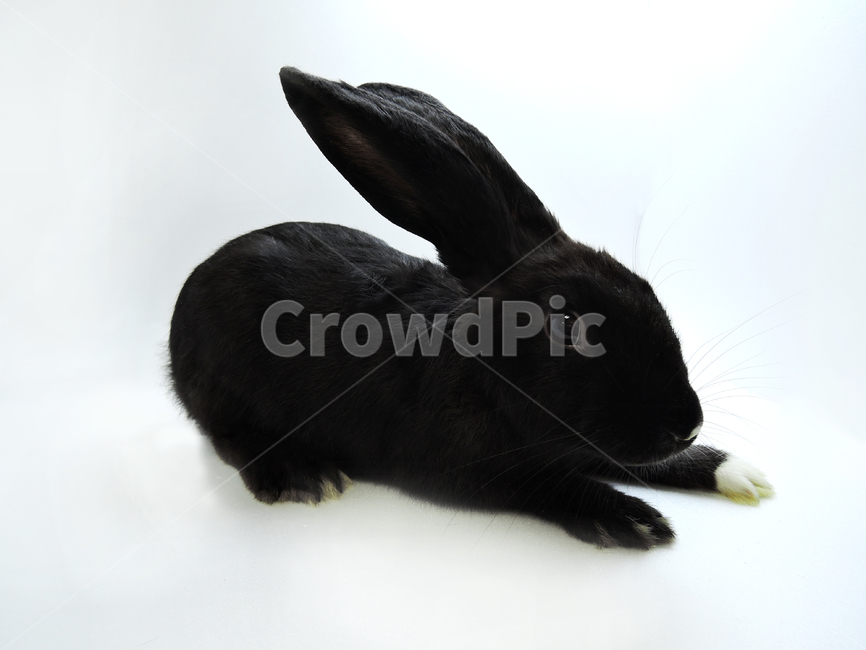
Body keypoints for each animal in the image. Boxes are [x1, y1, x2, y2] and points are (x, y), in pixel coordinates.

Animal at [168, 67, 773, 550]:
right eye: (571, 326)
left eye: (648, 290)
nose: (687, 426)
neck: (484, 369)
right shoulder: (469, 469)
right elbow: (551, 484)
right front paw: (634, 519)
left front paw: (738, 473)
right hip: (225, 389)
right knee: (227, 436)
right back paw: (303, 476)